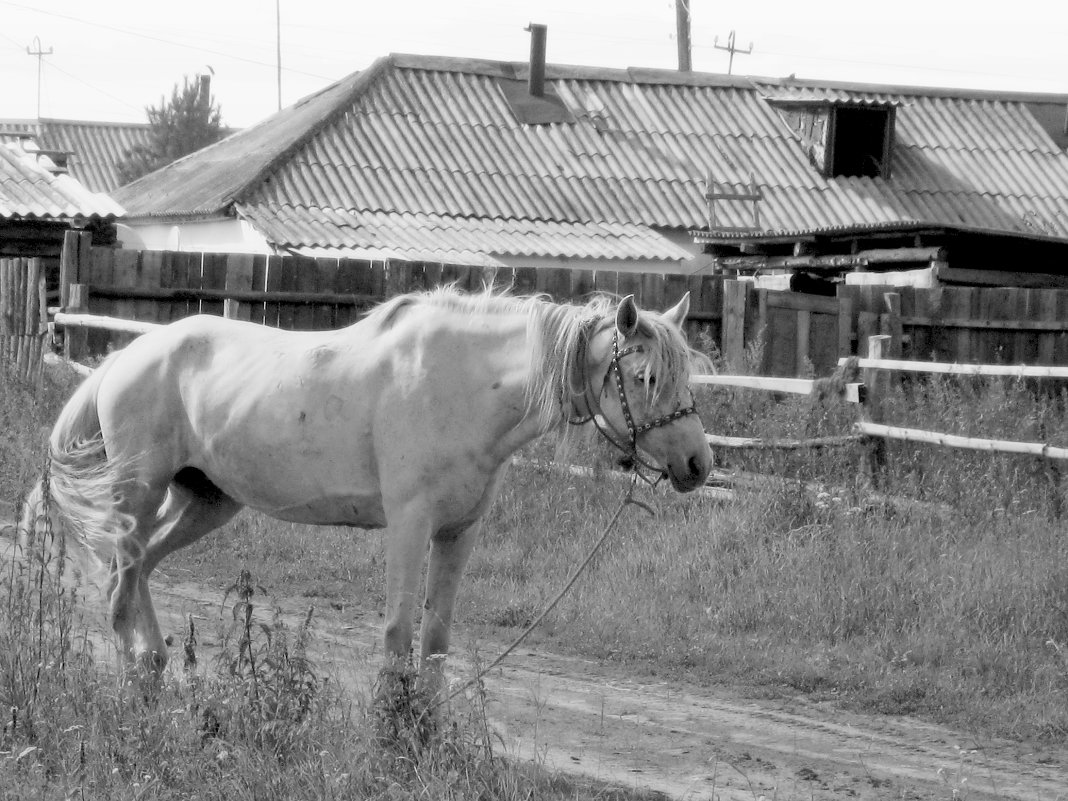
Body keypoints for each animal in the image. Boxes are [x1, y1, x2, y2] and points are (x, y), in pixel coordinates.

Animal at [25, 288, 713, 696]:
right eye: (646, 377)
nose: (698, 464)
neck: (462, 384)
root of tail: (127, 356)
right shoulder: (409, 527)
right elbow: (397, 635)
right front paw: (390, 734)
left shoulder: (458, 533)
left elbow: (435, 642)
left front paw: (428, 735)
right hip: (137, 495)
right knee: (121, 582)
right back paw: (136, 687)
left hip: (206, 503)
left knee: (138, 572)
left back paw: (154, 671)